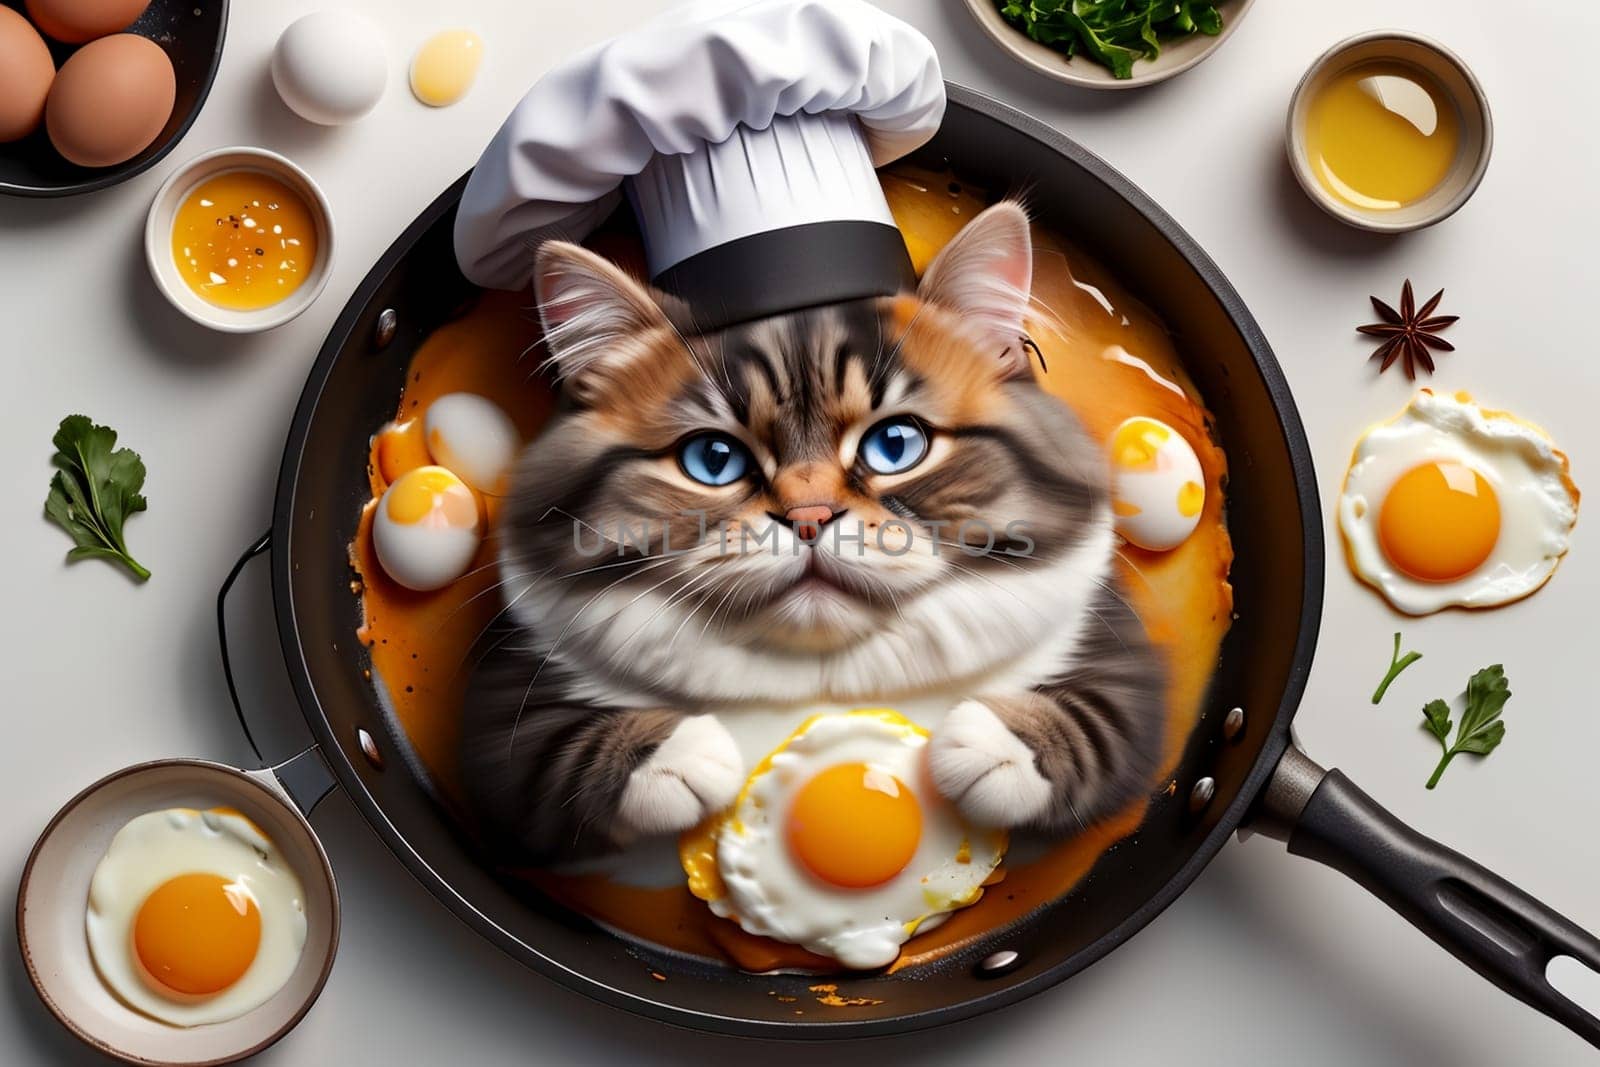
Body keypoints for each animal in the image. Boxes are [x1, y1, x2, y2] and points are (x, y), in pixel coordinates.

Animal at [457, 199, 1171, 863]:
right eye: (713, 459)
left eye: (896, 444)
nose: (809, 518)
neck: (824, 680)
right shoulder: (502, 707)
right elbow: (551, 752)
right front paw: (678, 753)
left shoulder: (1120, 660)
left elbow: (1099, 720)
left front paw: (991, 745)